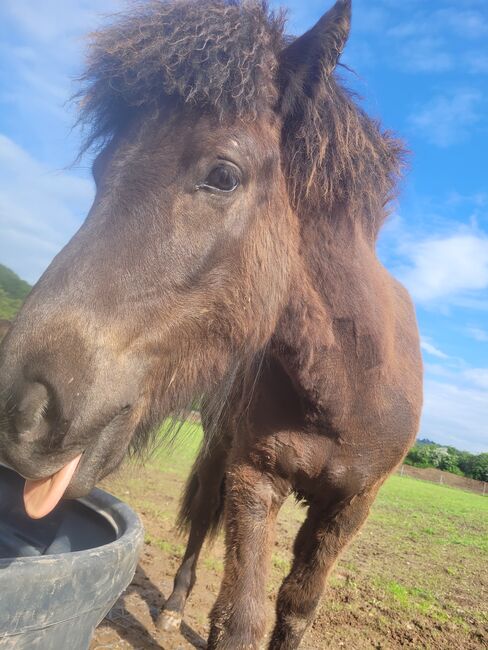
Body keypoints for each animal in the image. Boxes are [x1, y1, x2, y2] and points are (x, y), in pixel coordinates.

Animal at [0, 2, 422, 644]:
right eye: (100, 170)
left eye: (223, 176)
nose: (20, 408)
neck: (349, 382)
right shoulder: (254, 478)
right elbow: (239, 619)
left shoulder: (352, 506)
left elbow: (297, 606)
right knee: (201, 518)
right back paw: (174, 606)